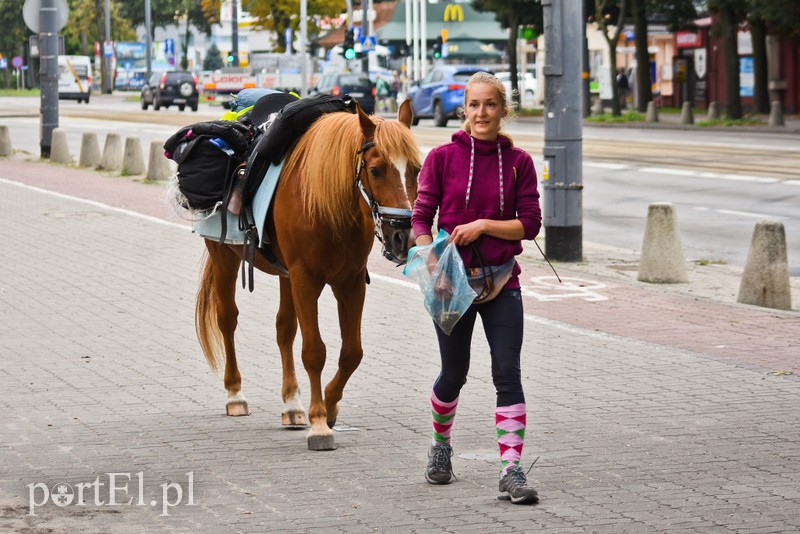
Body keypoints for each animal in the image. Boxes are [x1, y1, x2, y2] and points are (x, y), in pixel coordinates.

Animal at [196, 100, 422, 452]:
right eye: (376, 170)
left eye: (416, 169)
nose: (404, 238)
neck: (327, 203)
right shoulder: (306, 279)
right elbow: (314, 351)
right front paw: (319, 424)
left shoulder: (350, 283)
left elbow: (351, 353)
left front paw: (329, 406)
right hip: (225, 260)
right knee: (227, 319)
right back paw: (235, 394)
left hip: (284, 274)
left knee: (284, 329)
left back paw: (292, 404)